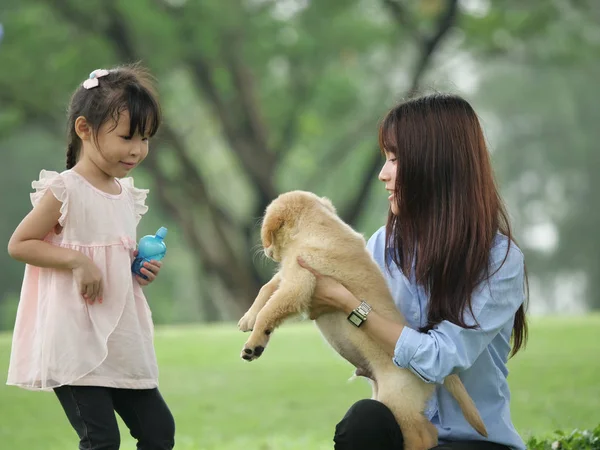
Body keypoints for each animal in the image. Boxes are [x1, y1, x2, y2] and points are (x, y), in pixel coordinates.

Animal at [238, 191, 488, 450]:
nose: (264, 250)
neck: (313, 227)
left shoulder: (298, 284)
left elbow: (270, 310)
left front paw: (253, 344)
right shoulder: (288, 275)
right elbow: (267, 289)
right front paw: (248, 319)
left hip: (398, 398)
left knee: (423, 434)